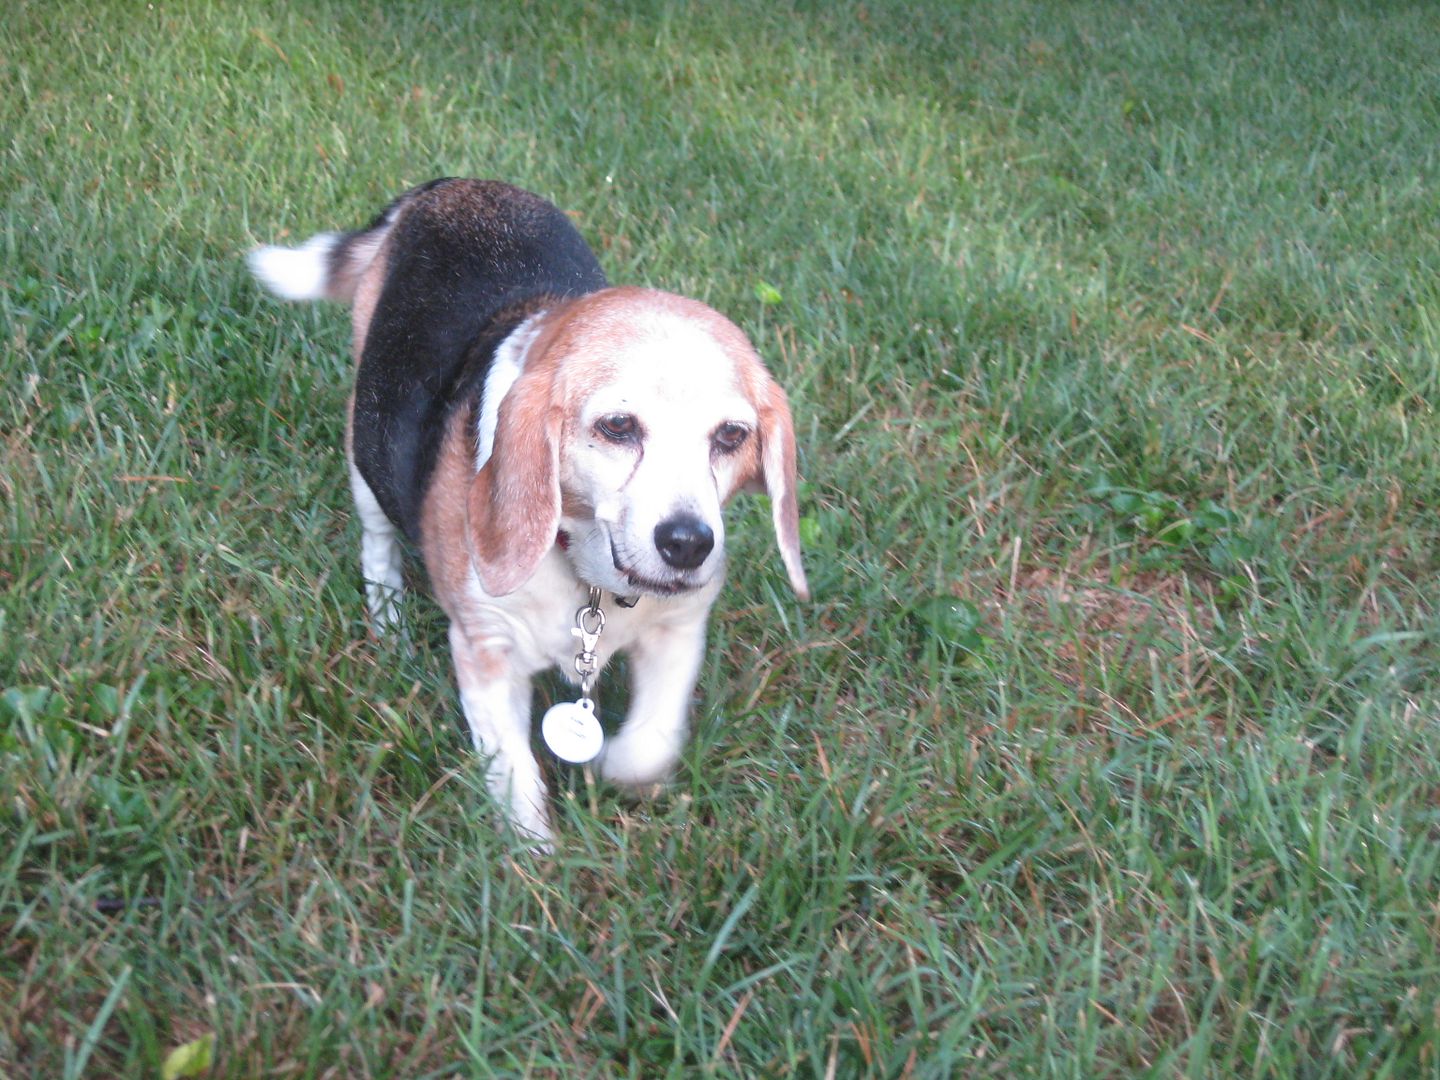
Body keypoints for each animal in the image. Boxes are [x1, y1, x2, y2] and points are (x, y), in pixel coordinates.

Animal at [249, 180, 812, 846]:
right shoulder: (486, 650)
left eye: (730, 435)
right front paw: (532, 854)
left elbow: (651, 741)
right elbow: (514, 770)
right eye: (617, 426)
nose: (688, 543)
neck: (590, 577)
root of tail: (449, 186)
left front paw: (617, 766)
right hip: (368, 446)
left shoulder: (679, 627)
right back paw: (388, 621)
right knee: (378, 542)